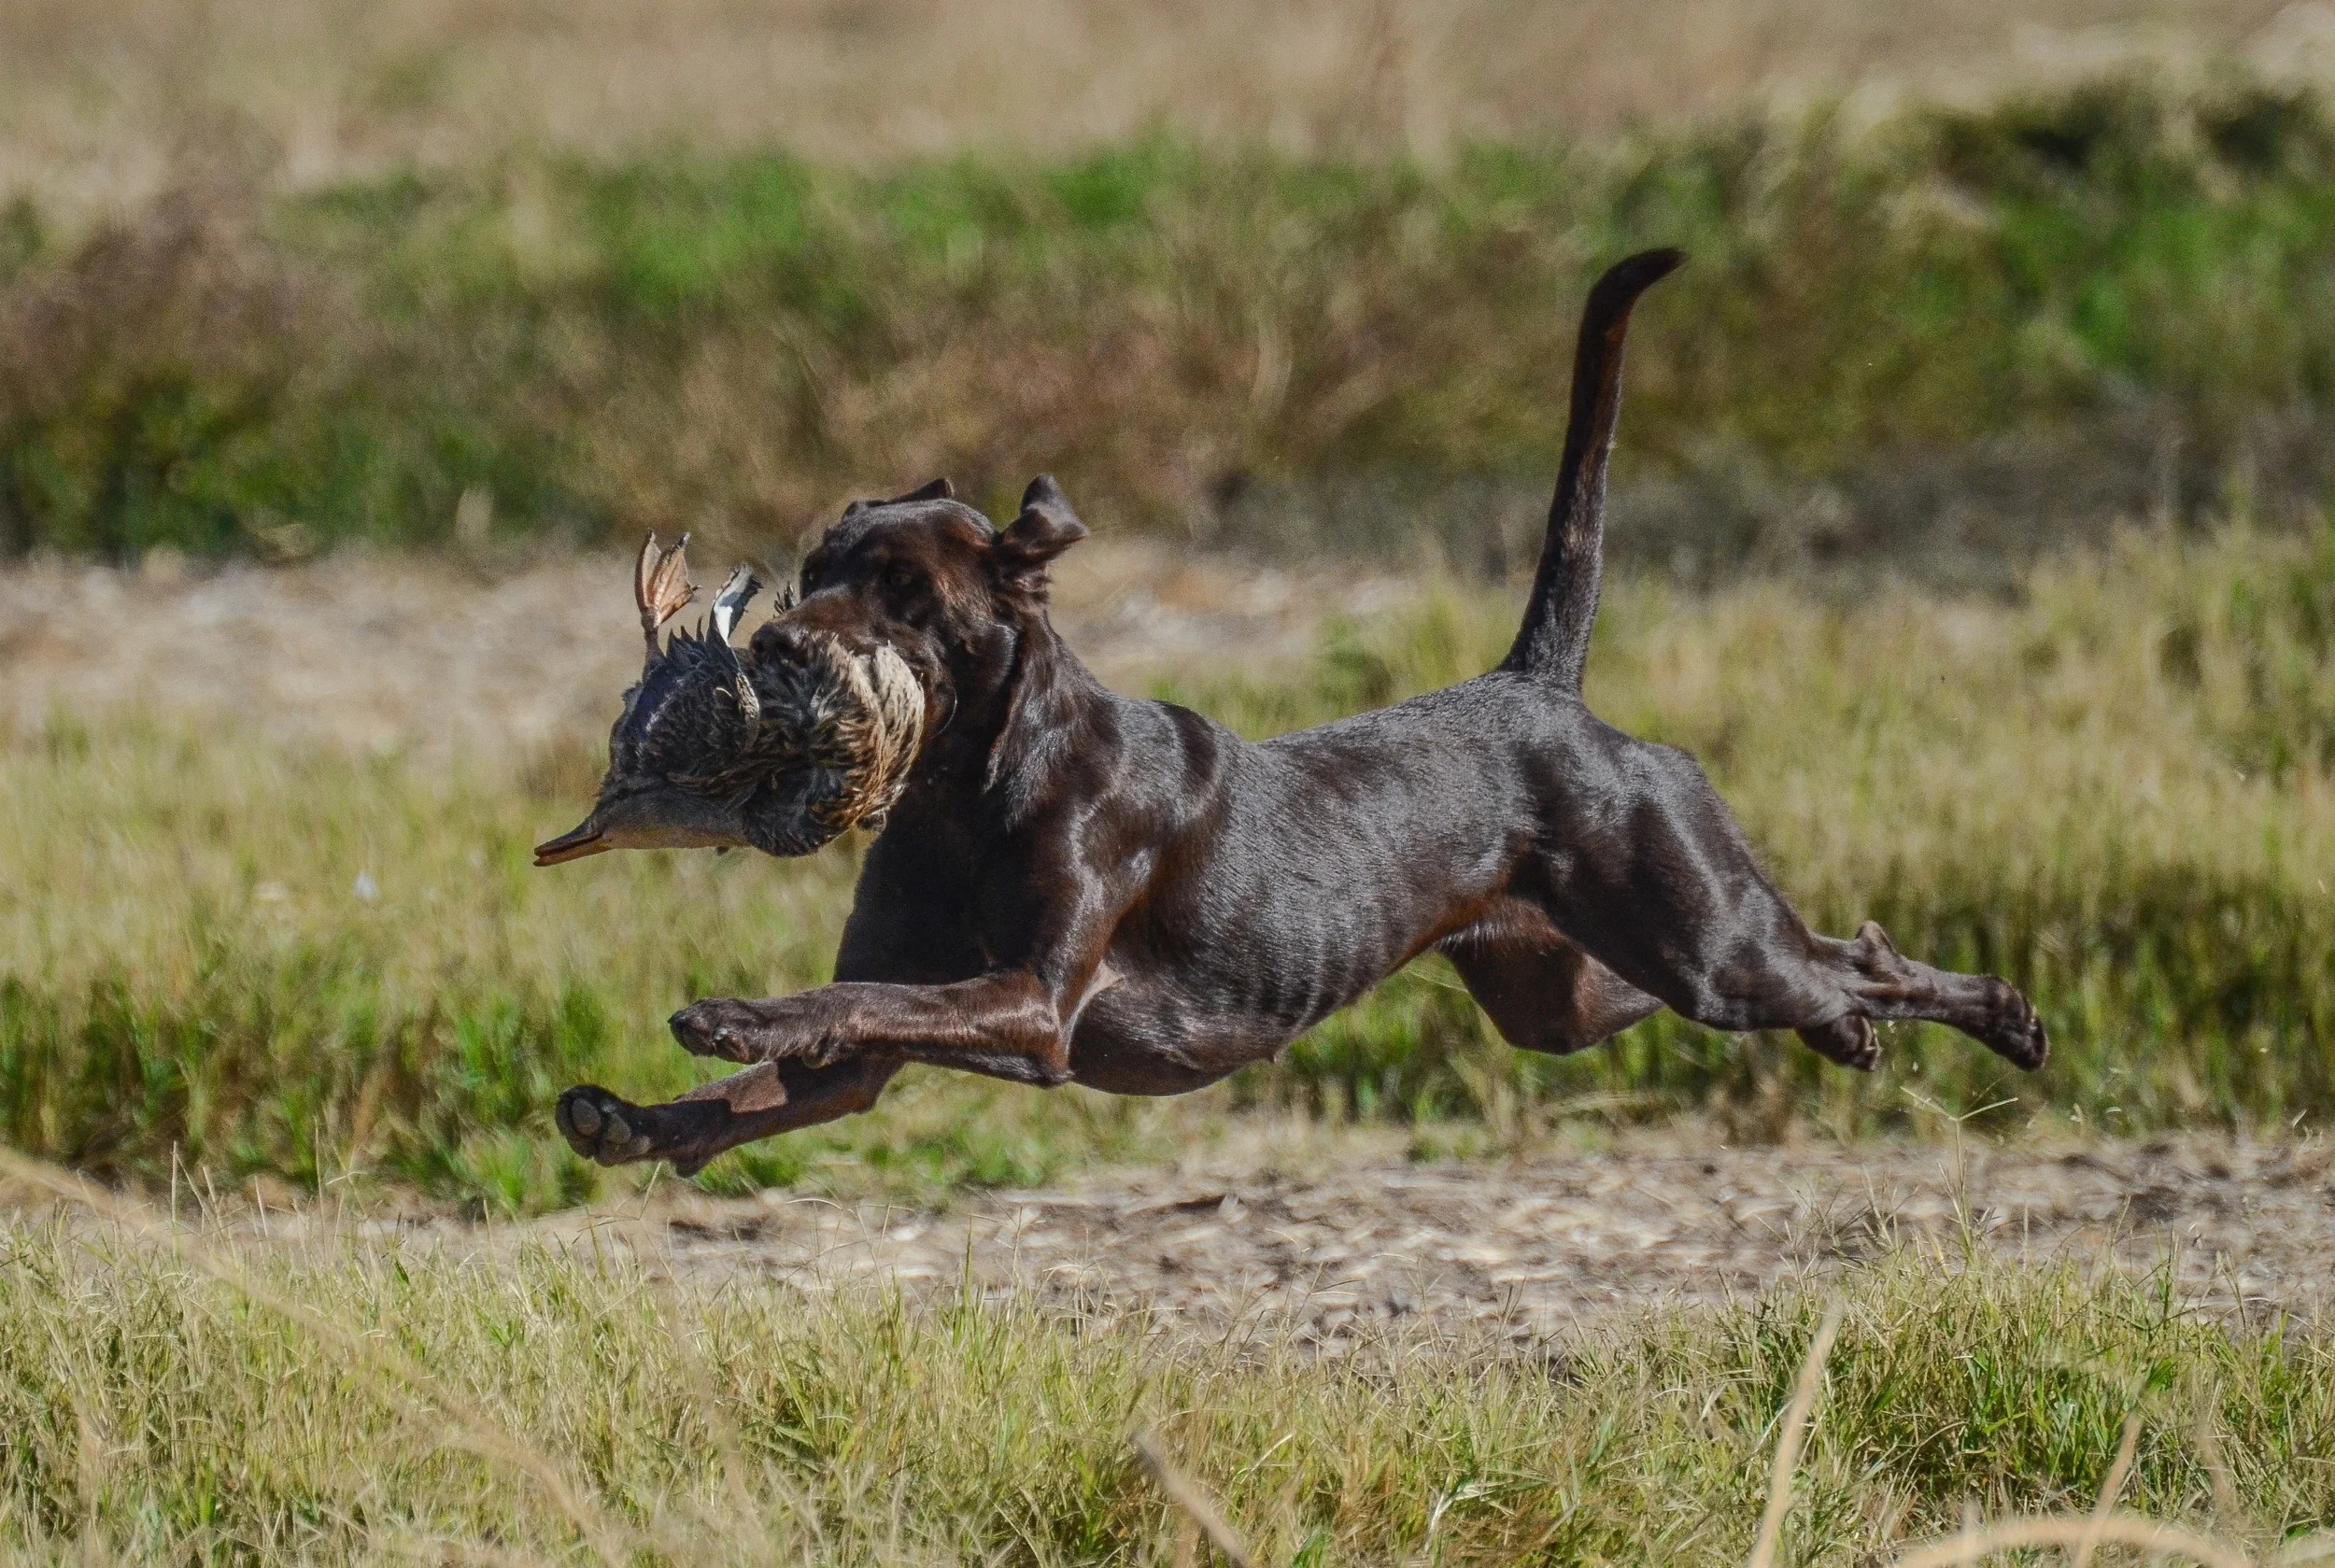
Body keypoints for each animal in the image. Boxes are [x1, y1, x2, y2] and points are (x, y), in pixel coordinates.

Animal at [542, 248, 2048, 1176]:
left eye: (904, 590)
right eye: (815, 567)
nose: (782, 642)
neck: (972, 788)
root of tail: (1536, 686)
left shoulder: (1031, 1008)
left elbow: (845, 998)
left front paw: (734, 1012)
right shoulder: (884, 1055)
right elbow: (785, 1075)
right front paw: (635, 1119)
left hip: (1703, 943)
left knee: (1840, 959)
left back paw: (2001, 1016)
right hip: (1568, 989)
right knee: (1822, 961)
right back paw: (1853, 1030)